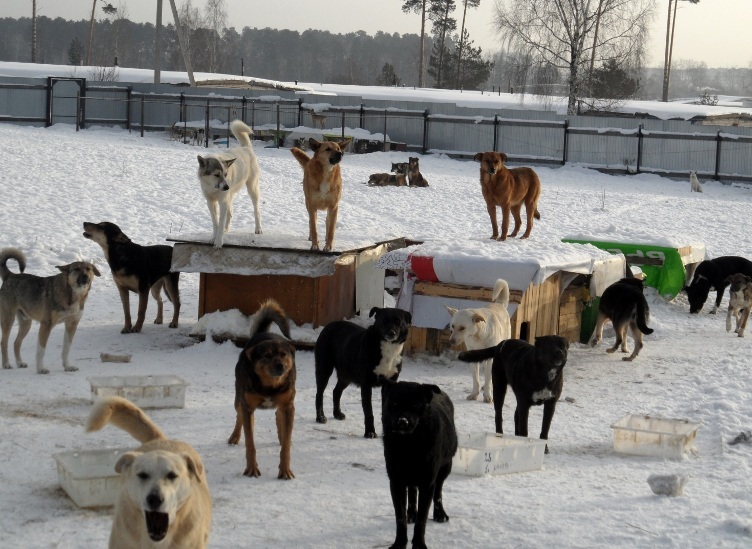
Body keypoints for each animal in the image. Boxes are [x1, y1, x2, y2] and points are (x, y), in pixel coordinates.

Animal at [197, 120, 262, 250]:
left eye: (226, 174)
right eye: (217, 175)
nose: (226, 187)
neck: (212, 188)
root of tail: (246, 148)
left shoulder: (222, 202)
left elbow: (220, 222)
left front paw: (218, 242)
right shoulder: (211, 202)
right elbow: (215, 222)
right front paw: (214, 237)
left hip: (252, 189)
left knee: (256, 210)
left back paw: (258, 229)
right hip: (230, 196)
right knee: (230, 213)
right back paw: (227, 229)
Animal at [226, 298, 296, 478]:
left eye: (284, 354)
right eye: (267, 356)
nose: (280, 366)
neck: (270, 385)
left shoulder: (288, 406)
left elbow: (286, 447)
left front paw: (285, 470)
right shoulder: (248, 407)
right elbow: (250, 443)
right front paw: (251, 469)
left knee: (279, 415)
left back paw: (282, 436)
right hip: (238, 398)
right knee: (239, 416)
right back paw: (234, 437)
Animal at [316, 304, 414, 436]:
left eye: (398, 322)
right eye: (384, 320)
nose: (391, 333)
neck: (388, 348)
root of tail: (328, 325)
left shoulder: (390, 383)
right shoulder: (366, 384)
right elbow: (369, 411)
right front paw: (370, 432)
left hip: (346, 375)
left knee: (336, 391)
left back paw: (337, 414)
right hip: (324, 369)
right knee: (319, 394)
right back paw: (320, 417)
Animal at [378, 378, 456, 548]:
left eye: (415, 404)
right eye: (394, 403)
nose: (402, 422)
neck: (409, 444)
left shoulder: (427, 482)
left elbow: (422, 519)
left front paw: (419, 544)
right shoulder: (396, 482)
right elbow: (400, 518)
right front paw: (400, 543)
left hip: (445, 467)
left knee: (438, 491)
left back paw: (439, 513)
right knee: (413, 491)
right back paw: (412, 513)